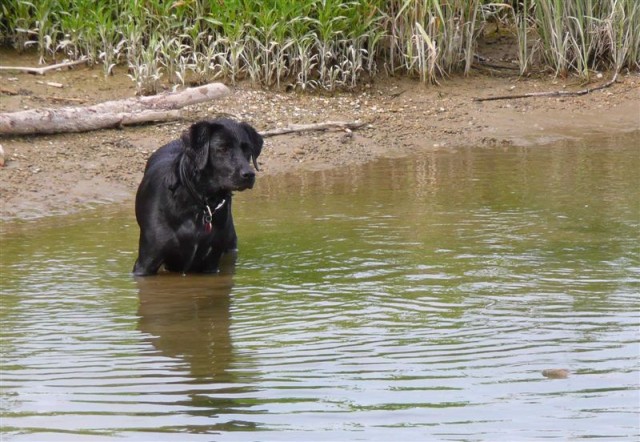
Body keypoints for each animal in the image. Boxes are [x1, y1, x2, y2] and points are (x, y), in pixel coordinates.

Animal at [132, 118, 262, 276]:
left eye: (247, 150)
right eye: (223, 148)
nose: (249, 174)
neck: (198, 203)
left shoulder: (211, 264)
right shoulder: (146, 262)